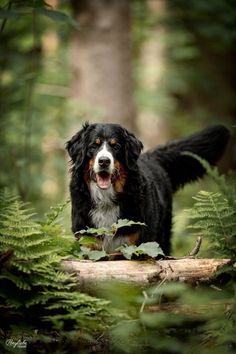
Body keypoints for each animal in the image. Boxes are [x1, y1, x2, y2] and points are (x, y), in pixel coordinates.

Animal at [66, 122, 229, 254]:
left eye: (116, 146)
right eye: (93, 146)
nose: (104, 161)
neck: (106, 200)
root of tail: (154, 157)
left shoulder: (138, 244)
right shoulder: (87, 241)